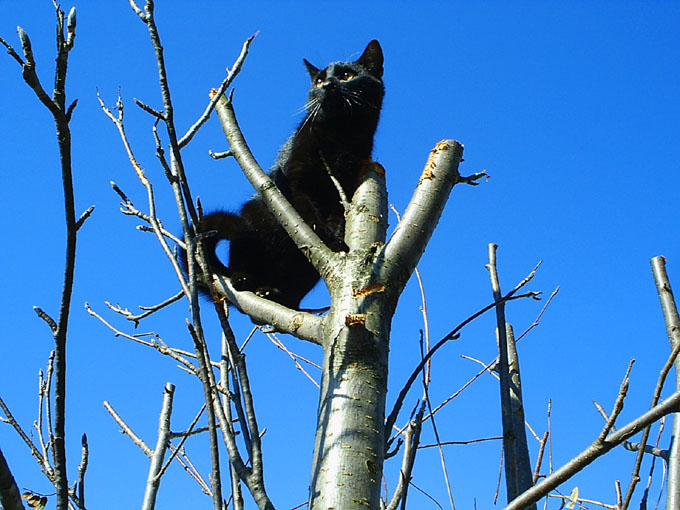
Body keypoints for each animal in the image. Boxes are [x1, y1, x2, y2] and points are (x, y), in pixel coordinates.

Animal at [195, 39, 382, 308]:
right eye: (319, 81)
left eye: (347, 75)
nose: (328, 84)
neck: (338, 136)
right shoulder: (295, 180)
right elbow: (307, 212)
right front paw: (324, 235)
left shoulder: (344, 187)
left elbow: (336, 218)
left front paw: (335, 240)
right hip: (250, 223)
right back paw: (244, 279)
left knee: (291, 296)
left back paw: (271, 293)